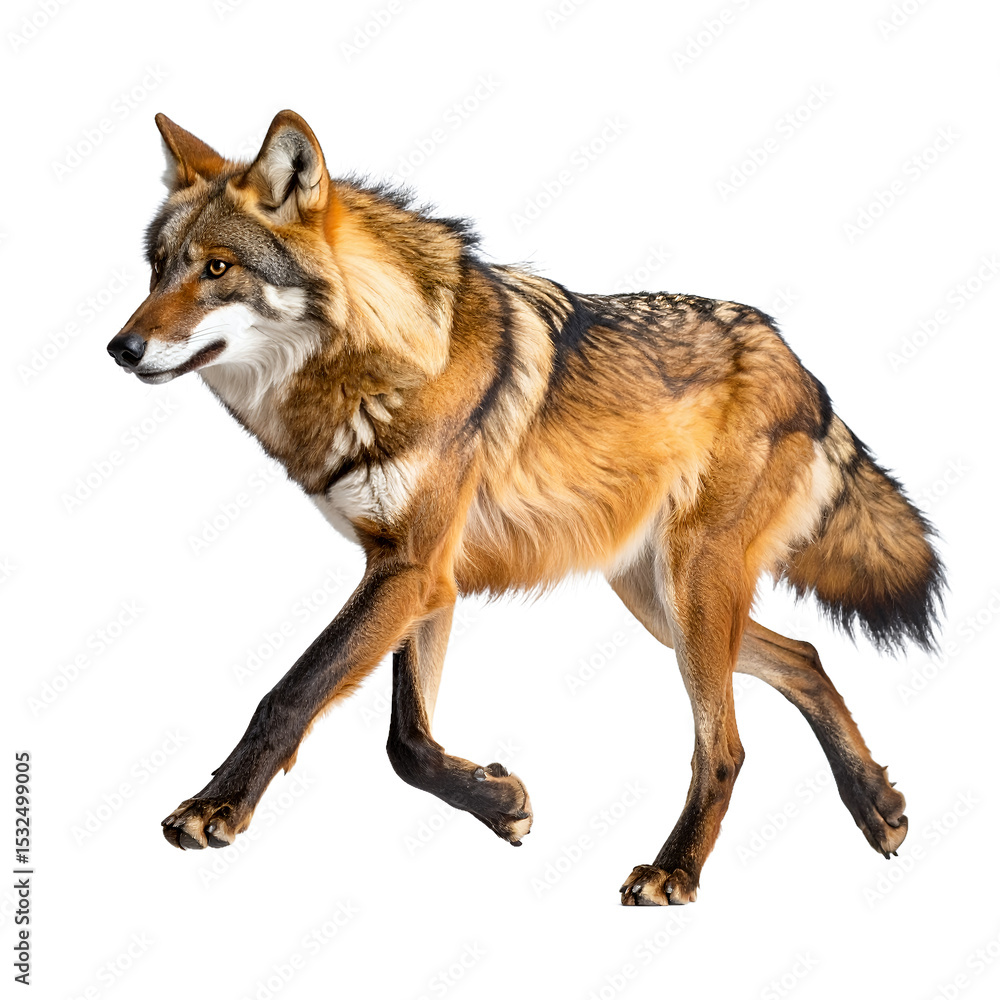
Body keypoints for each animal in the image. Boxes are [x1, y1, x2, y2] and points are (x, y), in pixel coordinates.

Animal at [107, 111, 943, 905]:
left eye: (217, 268)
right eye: (156, 269)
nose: (120, 349)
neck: (383, 360)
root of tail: (796, 361)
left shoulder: (410, 568)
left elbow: (292, 693)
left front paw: (214, 807)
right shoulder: (421, 573)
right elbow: (406, 742)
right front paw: (498, 800)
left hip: (691, 593)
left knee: (726, 746)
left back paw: (675, 871)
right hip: (659, 603)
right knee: (805, 657)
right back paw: (876, 804)